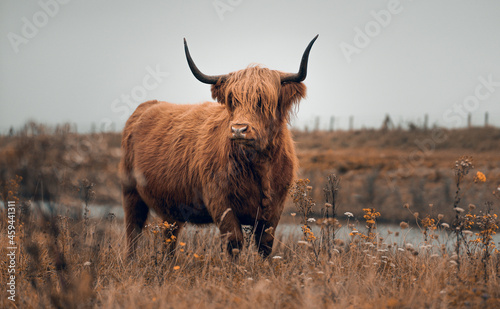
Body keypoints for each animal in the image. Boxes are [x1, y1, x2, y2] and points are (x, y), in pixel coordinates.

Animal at [119, 35, 318, 258]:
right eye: (232, 100)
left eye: (263, 101)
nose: (239, 129)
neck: (260, 165)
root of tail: (147, 105)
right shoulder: (219, 201)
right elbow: (234, 242)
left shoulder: (275, 208)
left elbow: (265, 245)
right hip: (131, 193)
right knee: (133, 232)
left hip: (170, 206)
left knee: (169, 237)